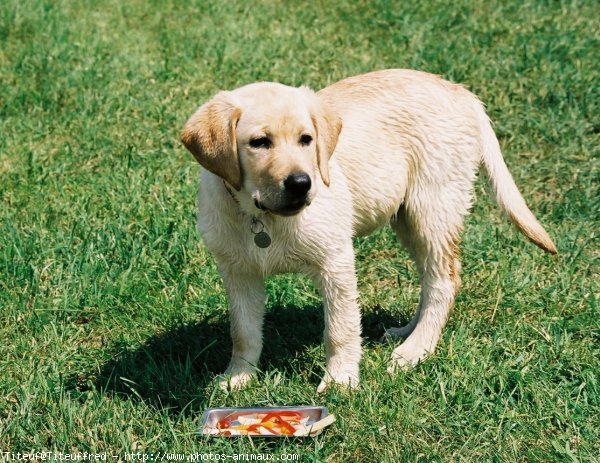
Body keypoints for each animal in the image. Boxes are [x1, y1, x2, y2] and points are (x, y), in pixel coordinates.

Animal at [180, 70, 556, 394]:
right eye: (259, 142)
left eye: (306, 140)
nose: (302, 184)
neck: (263, 217)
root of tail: (460, 92)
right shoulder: (238, 271)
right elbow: (243, 330)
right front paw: (238, 377)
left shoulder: (335, 261)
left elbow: (341, 328)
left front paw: (340, 381)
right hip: (407, 217)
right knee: (428, 277)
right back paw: (406, 332)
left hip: (434, 206)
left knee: (443, 281)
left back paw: (416, 349)